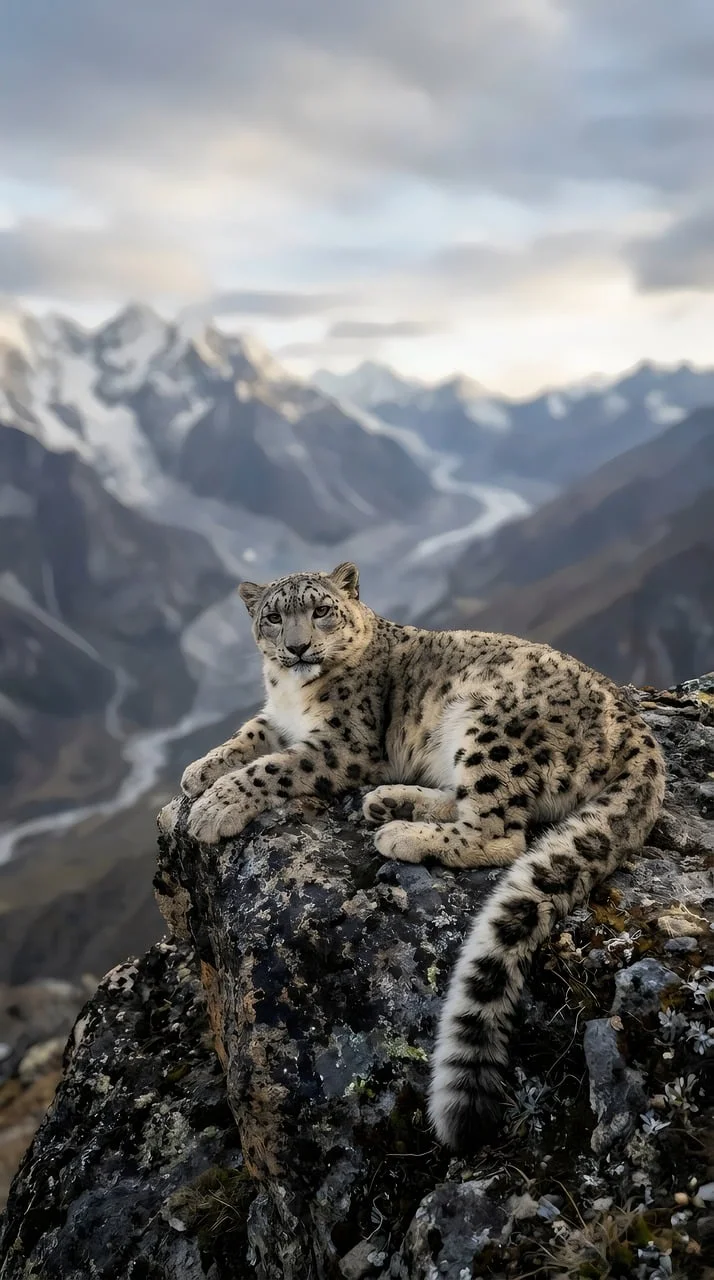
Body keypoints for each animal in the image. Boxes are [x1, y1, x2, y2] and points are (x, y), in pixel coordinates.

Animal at [174, 560, 666, 1152]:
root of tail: (639, 729)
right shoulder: (277, 719)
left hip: (492, 729)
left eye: (321, 609)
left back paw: (400, 833)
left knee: (500, 831)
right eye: (273, 617)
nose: (297, 647)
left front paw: (214, 805)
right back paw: (391, 802)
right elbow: (249, 733)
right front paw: (198, 771)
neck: (291, 693)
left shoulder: (342, 745)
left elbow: (271, 767)